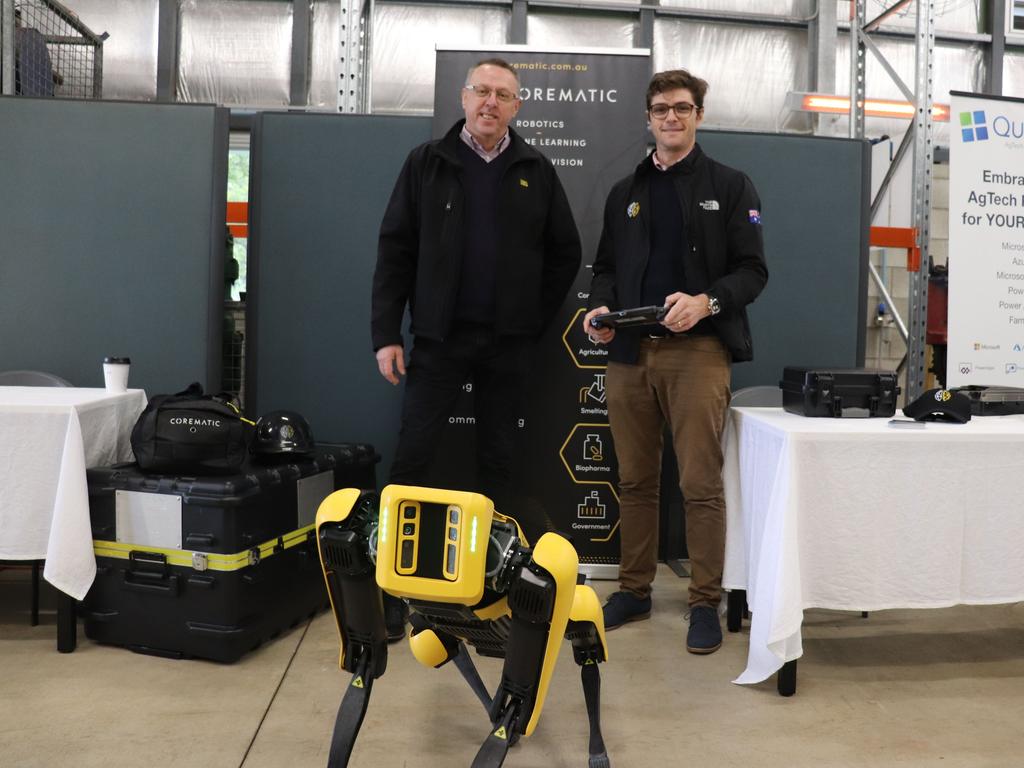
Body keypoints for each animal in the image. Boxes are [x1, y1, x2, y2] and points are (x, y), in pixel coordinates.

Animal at [315, 487, 610, 768]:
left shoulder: (541, 570)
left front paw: (510, 720)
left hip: (569, 613)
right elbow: (367, 653)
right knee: (438, 643)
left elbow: (520, 699)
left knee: (585, 638)